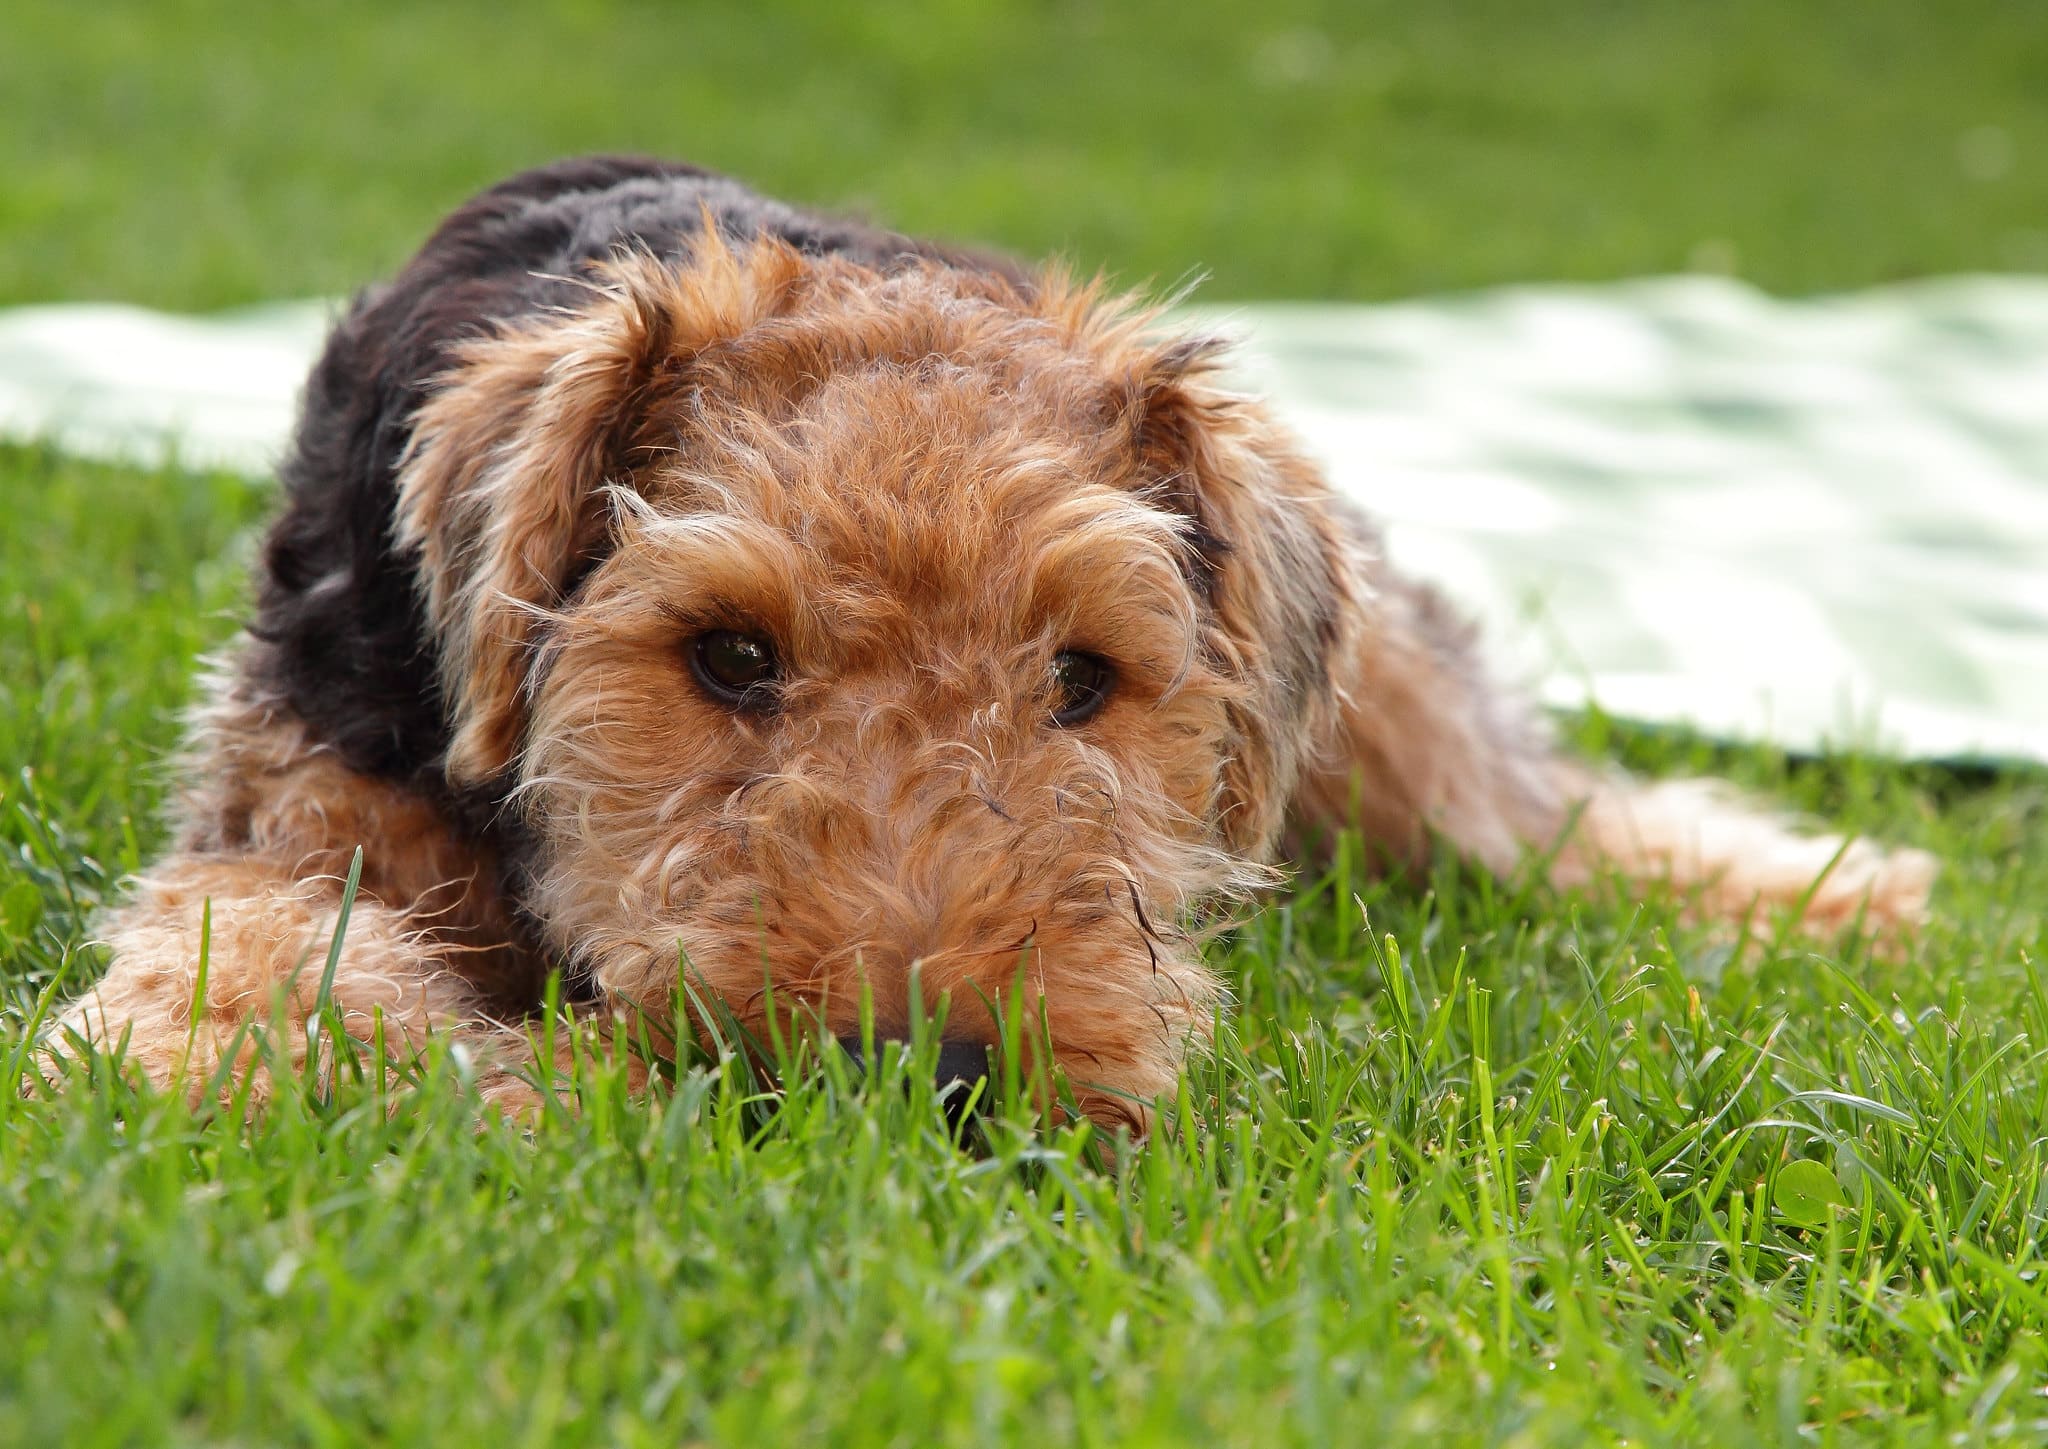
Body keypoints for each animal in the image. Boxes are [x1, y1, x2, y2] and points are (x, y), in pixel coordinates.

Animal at [51, 158, 1933, 1129]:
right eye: (727, 654)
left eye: (1083, 678)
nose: (933, 1074)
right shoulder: (302, 792)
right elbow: (248, 935)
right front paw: (221, 1059)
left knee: (1527, 800)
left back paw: (1834, 897)